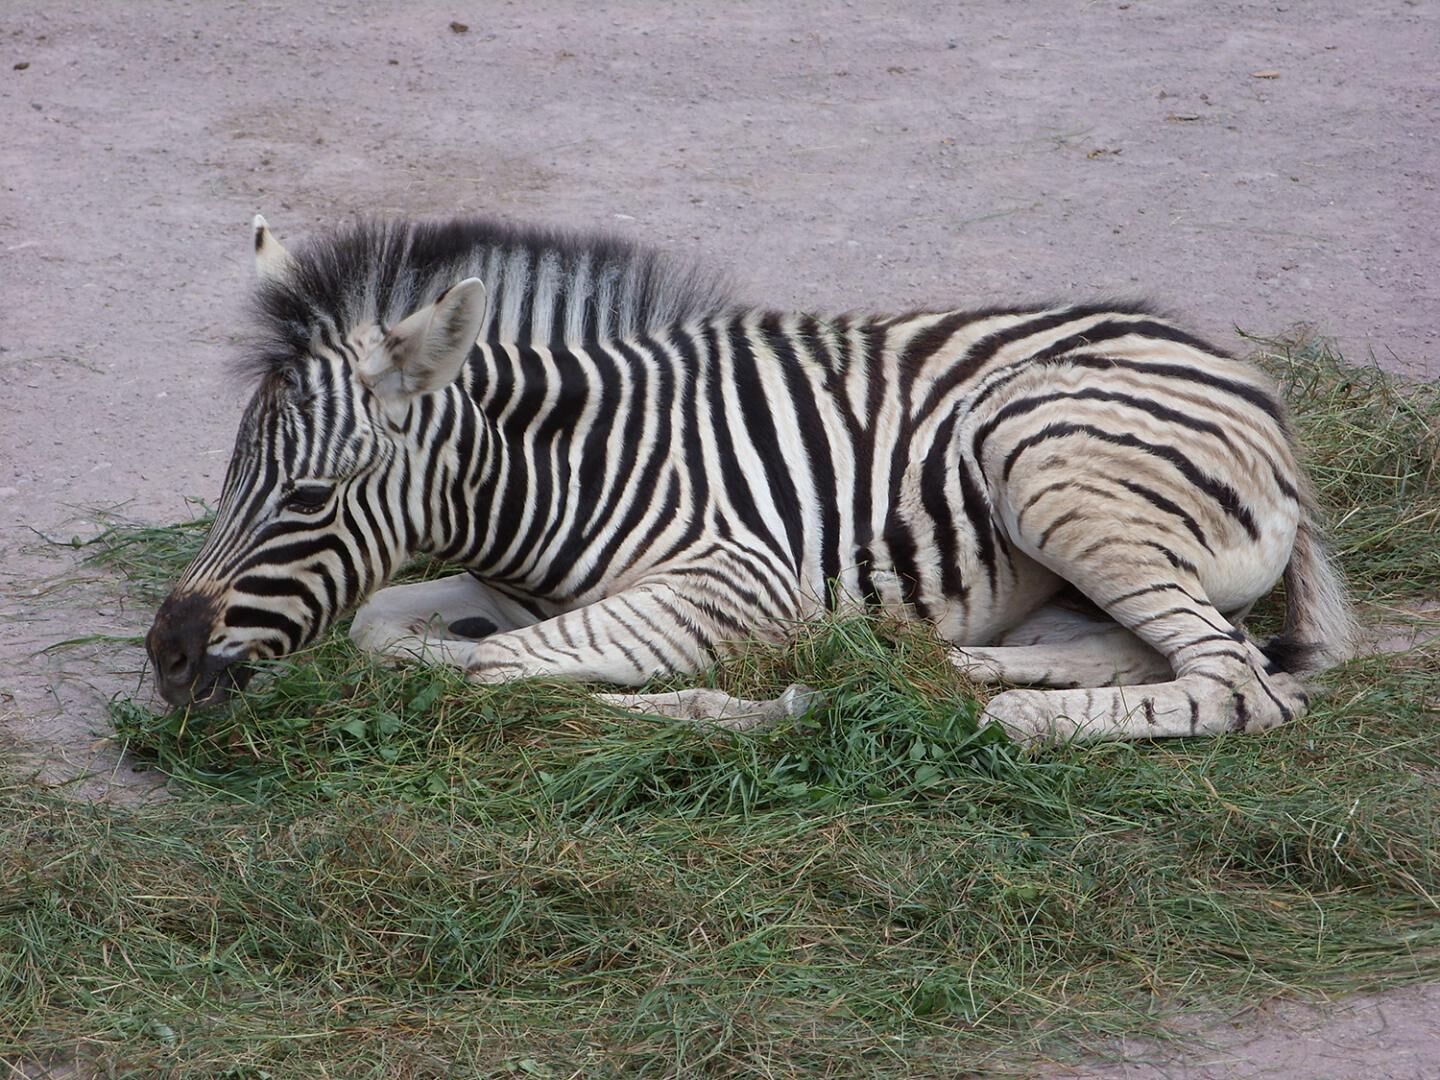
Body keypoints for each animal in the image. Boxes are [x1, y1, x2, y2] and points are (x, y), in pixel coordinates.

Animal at [143, 216, 1347, 748]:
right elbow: (381, 627)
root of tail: (1248, 387)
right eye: (229, 475)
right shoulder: (493, 587)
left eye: (308, 498)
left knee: (1237, 681)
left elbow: (486, 673)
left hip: (1043, 460)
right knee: (1144, 648)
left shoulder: (736, 583)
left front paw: (750, 698)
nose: (166, 657)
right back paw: (922, 666)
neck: (563, 472)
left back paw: (988, 713)